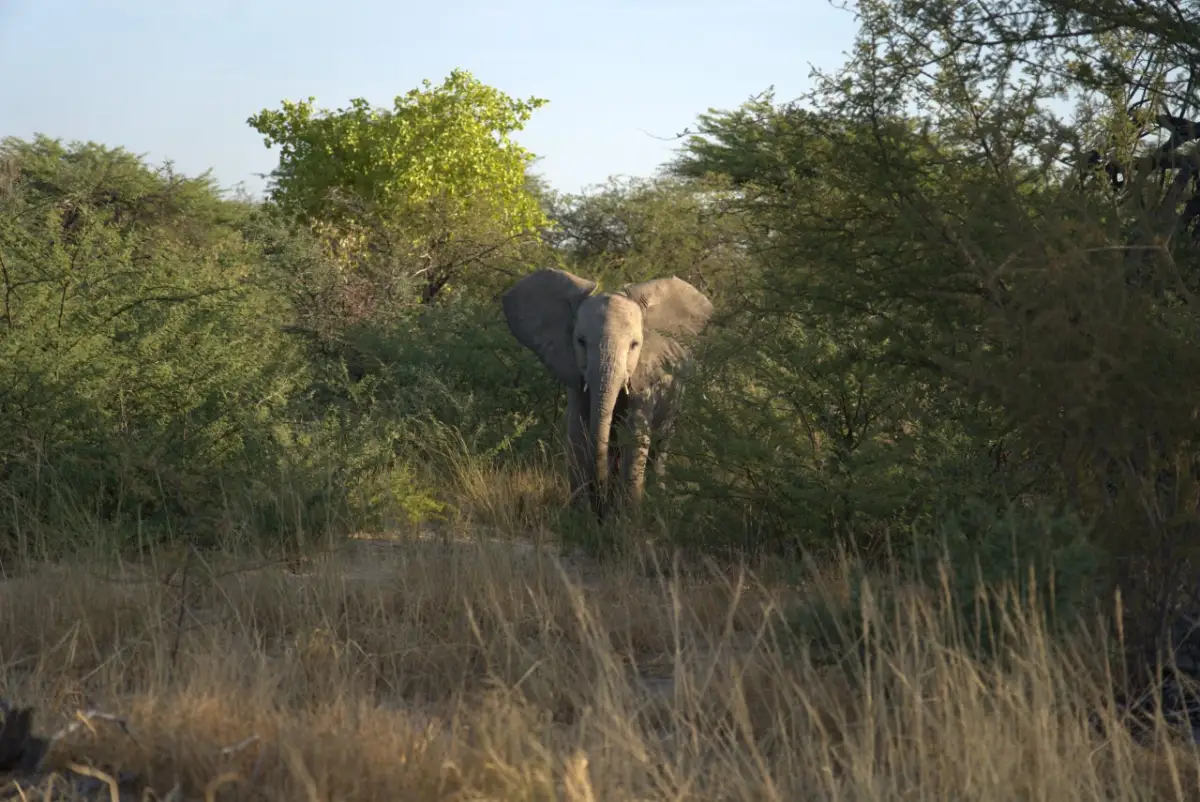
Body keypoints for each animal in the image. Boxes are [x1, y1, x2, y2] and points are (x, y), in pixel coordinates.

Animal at [501, 268, 714, 518]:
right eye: (580, 341)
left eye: (634, 345)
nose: (599, 507)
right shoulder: (576, 376)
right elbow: (578, 432)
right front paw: (580, 515)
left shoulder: (645, 375)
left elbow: (635, 435)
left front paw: (629, 518)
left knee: (660, 443)